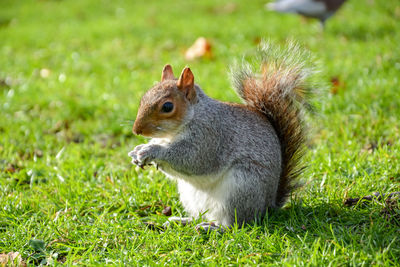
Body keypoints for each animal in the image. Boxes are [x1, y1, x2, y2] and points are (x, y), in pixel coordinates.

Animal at [128, 43, 316, 231]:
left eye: (167, 106)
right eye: (143, 98)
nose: (137, 130)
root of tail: (268, 206)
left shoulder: (210, 136)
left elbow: (191, 159)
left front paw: (151, 150)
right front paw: (137, 151)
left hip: (241, 188)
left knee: (236, 224)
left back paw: (213, 228)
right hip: (191, 196)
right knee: (200, 216)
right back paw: (183, 221)